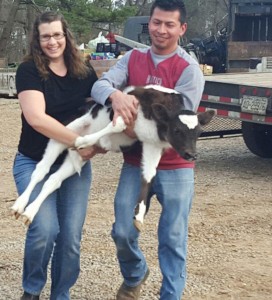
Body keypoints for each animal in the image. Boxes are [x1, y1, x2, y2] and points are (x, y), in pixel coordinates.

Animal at [11, 85, 215, 231]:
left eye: (199, 132)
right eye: (177, 130)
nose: (191, 154)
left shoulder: (153, 145)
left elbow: (148, 175)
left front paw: (139, 214)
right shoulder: (126, 110)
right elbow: (117, 126)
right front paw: (84, 140)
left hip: (75, 160)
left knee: (52, 181)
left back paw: (30, 212)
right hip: (61, 134)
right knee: (40, 171)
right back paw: (20, 205)